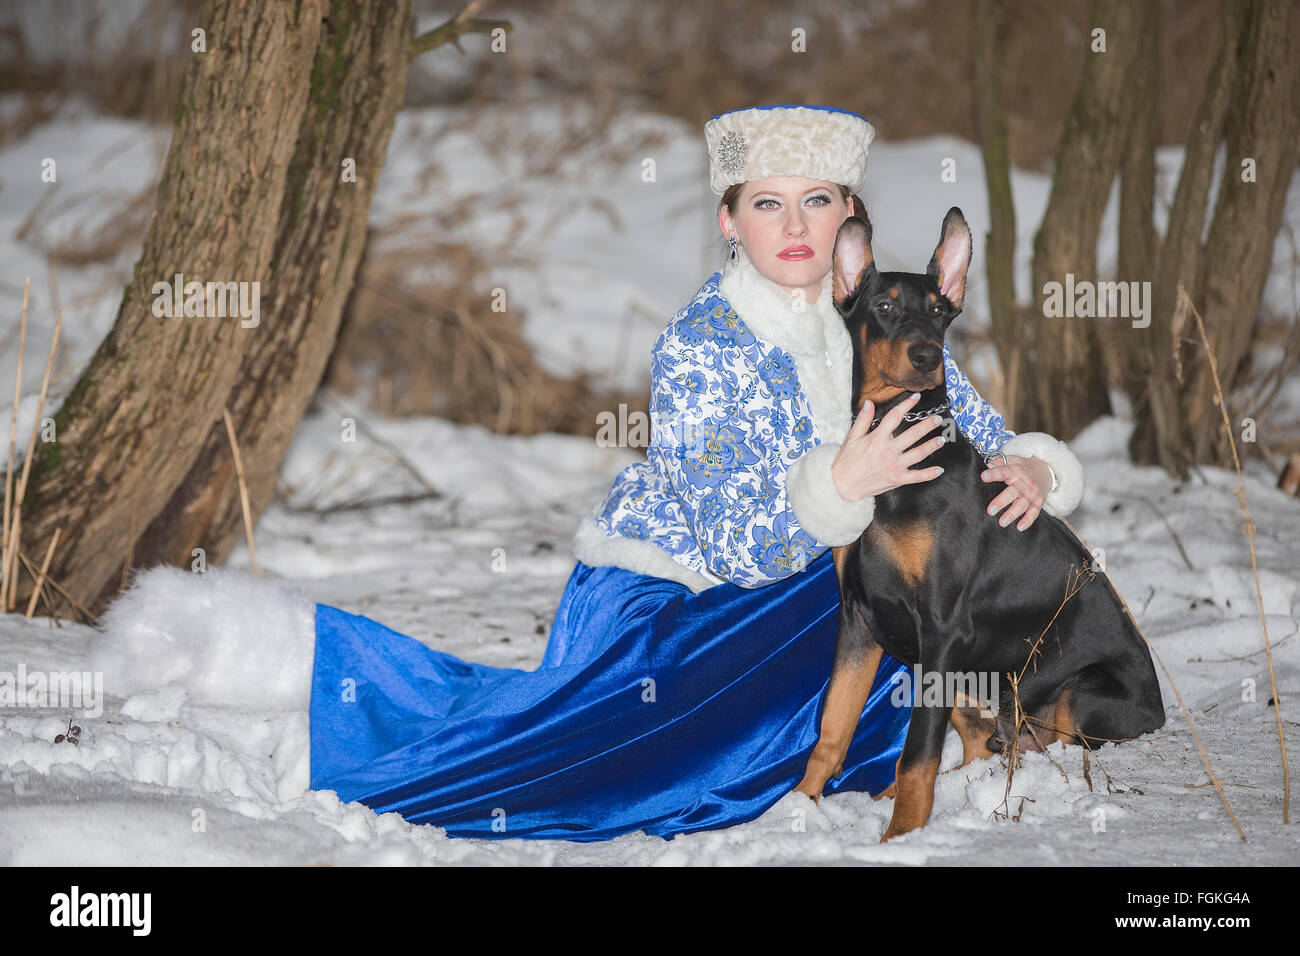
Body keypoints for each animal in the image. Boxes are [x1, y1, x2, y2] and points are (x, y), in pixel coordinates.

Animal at [790, 208, 1170, 837]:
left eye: (939, 311)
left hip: (1073, 689)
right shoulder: (858, 618)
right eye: (885, 306)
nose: (926, 357)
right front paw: (797, 808)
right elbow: (832, 727)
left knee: (1034, 740)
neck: (897, 461)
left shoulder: (942, 628)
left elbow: (917, 751)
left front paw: (901, 835)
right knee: (983, 739)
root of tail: (1160, 711)